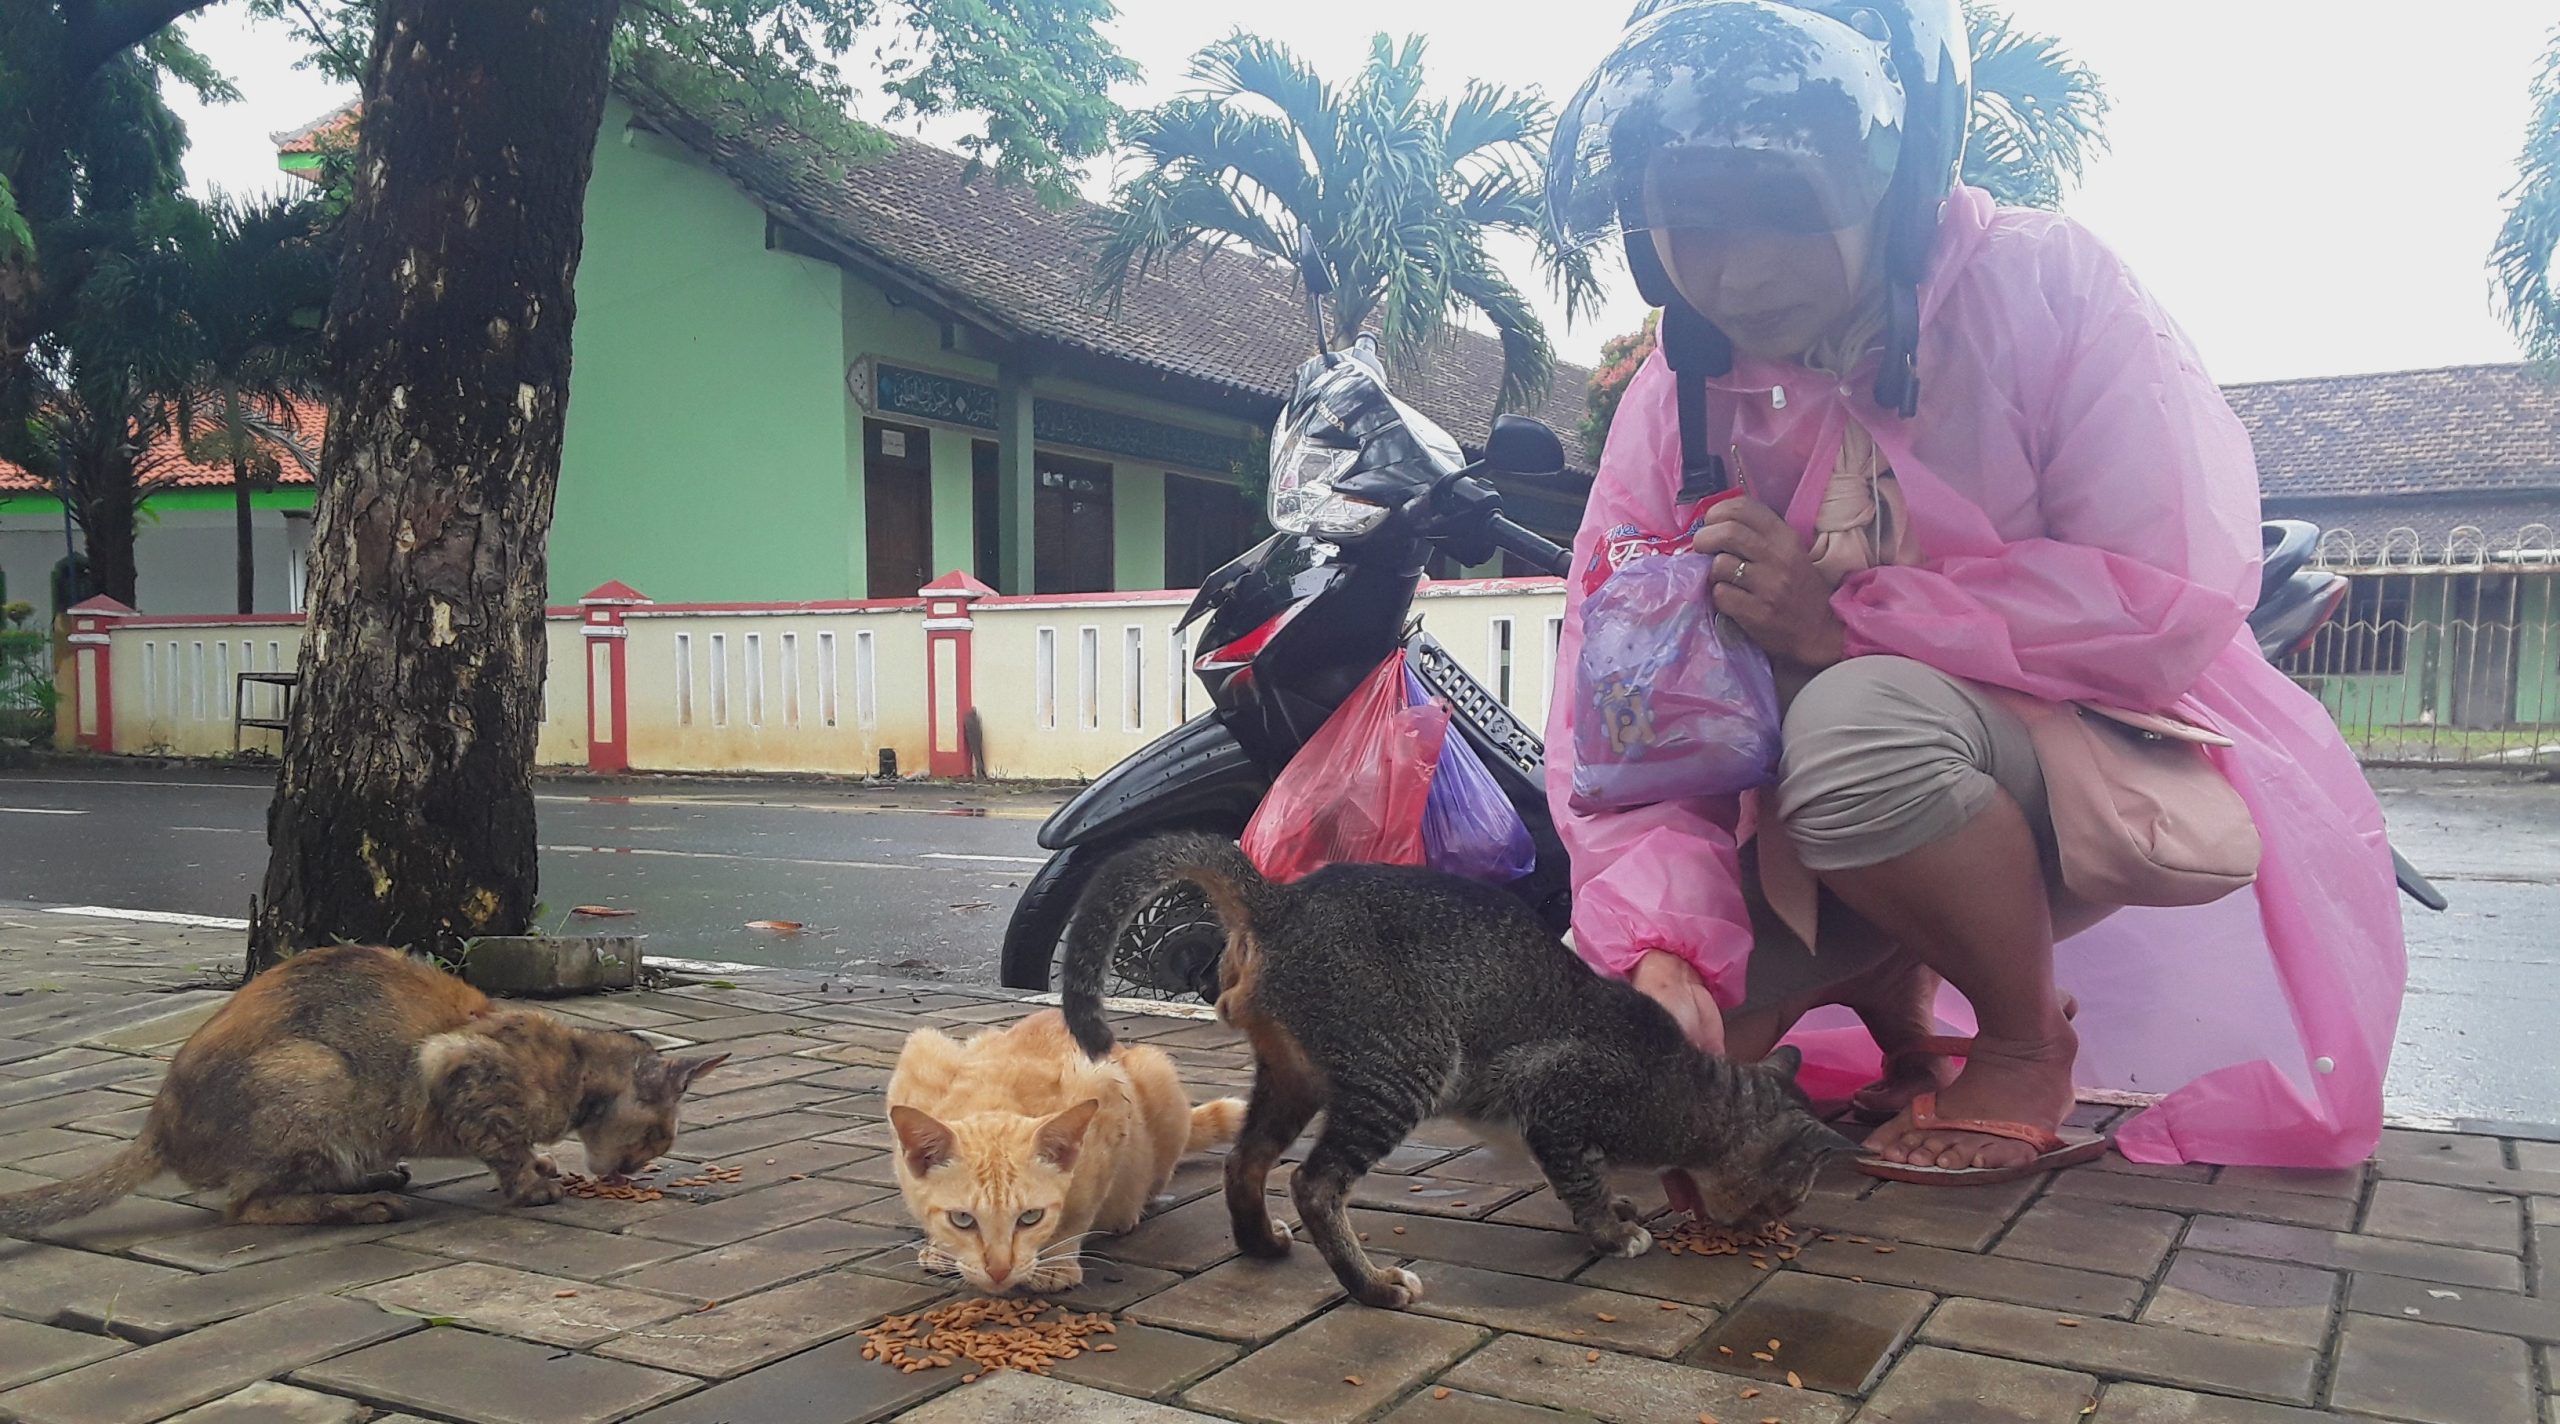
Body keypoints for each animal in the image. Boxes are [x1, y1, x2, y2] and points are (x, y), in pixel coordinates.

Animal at [0, 947, 727, 1234]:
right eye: (655, 1139)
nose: (632, 1173)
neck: (573, 1061)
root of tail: (158, 1123)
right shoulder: (453, 1066)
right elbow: (503, 1144)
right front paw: (532, 1184)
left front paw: (545, 1165)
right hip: (313, 1077)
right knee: (247, 1205)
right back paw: (363, 1204)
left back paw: (373, 1179)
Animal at [885, 1009, 1244, 1295]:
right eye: (962, 1219)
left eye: (1030, 1217)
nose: (999, 1271)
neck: (994, 1099)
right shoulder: (917, 1063)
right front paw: (941, 1248)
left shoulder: (1105, 1091)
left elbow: (1079, 1212)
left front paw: (1055, 1265)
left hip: (1157, 1075)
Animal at [1059, 834, 1863, 1311]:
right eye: (1786, 1200)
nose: (1767, 1229)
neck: (1686, 1087)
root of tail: (1282, 898)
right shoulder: (1558, 1103)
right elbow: (1581, 1181)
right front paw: (1612, 1232)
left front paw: (1622, 1209)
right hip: (1405, 1067)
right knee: (1315, 1184)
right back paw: (1373, 1286)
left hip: (1296, 1077)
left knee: (1247, 1160)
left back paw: (1260, 1243)